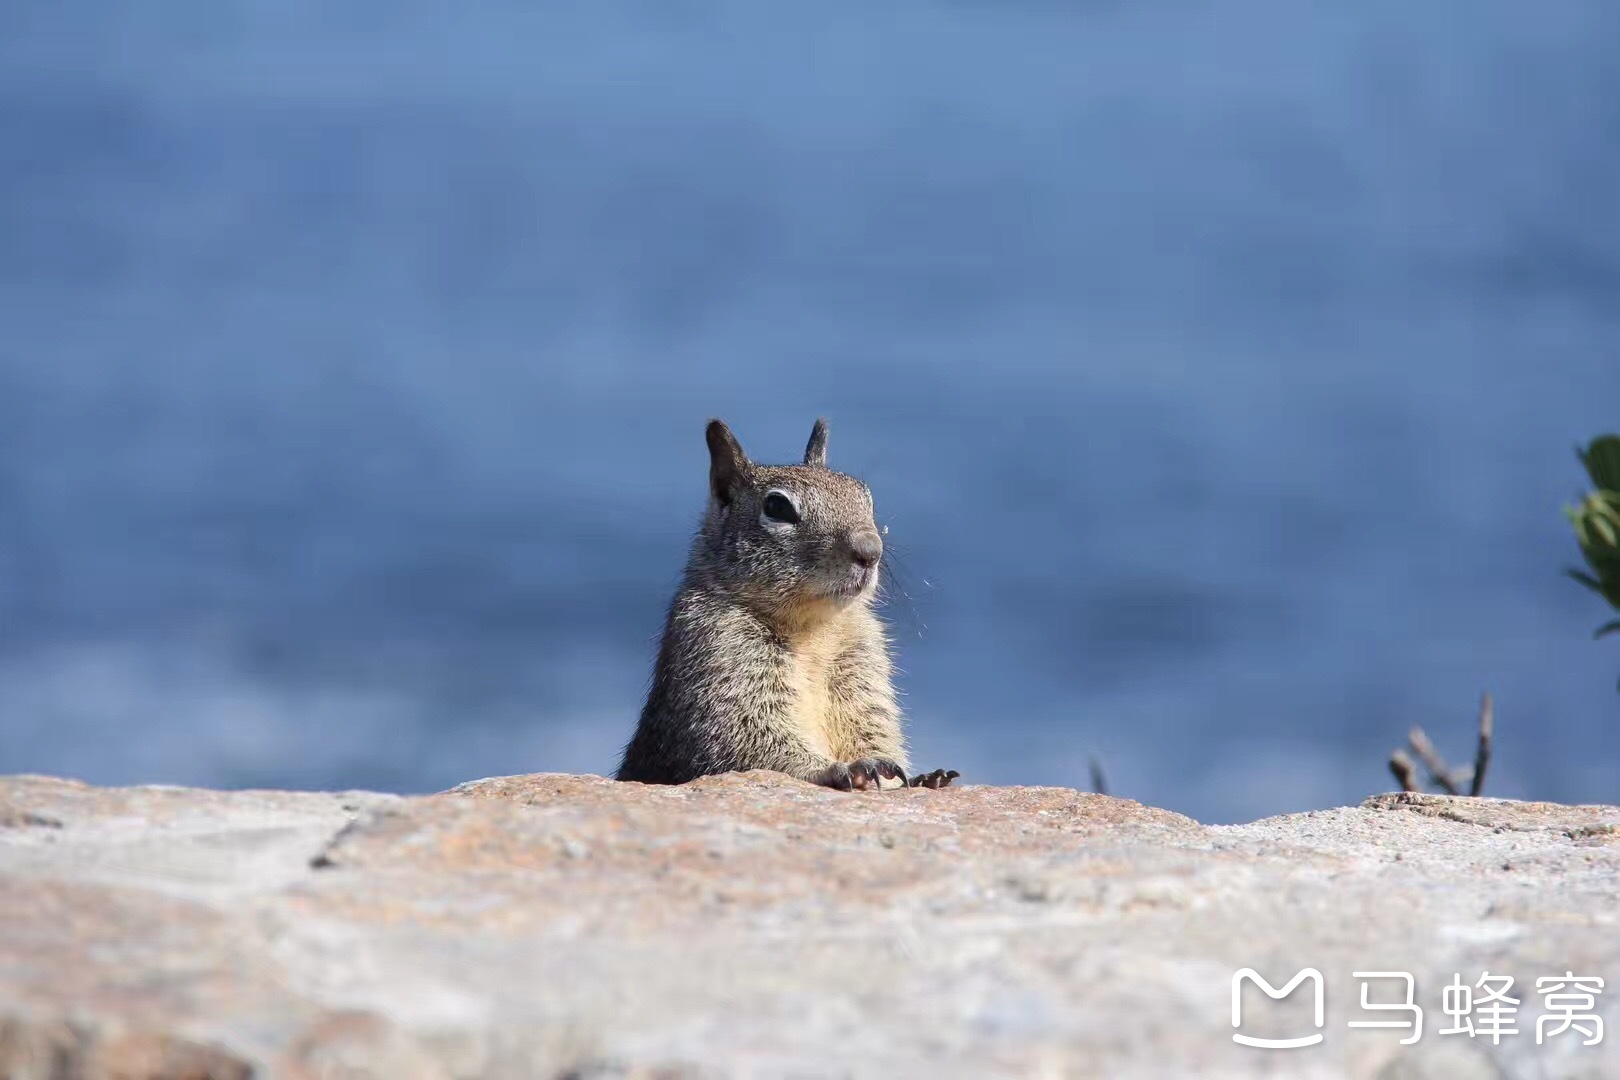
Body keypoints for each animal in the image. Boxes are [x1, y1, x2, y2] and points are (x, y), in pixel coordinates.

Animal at [612, 417, 952, 790]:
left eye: (866, 497)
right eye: (777, 508)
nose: (870, 551)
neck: (814, 627)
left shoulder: (862, 667)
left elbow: (873, 727)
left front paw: (918, 776)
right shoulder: (719, 654)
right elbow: (748, 738)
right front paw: (845, 768)